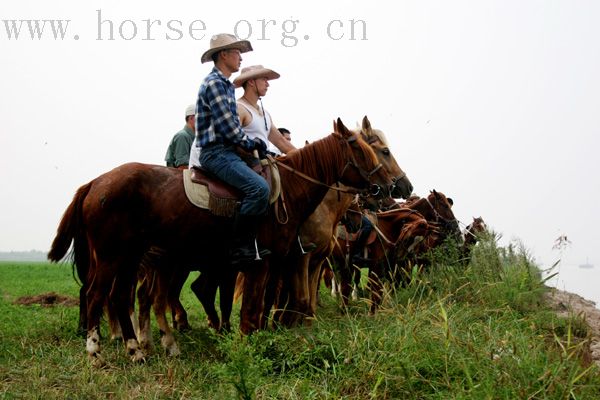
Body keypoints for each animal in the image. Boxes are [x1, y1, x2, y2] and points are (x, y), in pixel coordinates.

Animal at [47, 117, 394, 364]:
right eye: (365, 150)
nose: (389, 186)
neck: (287, 189)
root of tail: (95, 183)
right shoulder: (262, 263)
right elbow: (252, 308)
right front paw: (246, 343)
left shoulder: (275, 263)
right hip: (113, 256)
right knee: (96, 294)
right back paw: (96, 352)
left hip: (132, 258)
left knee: (122, 297)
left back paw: (137, 350)